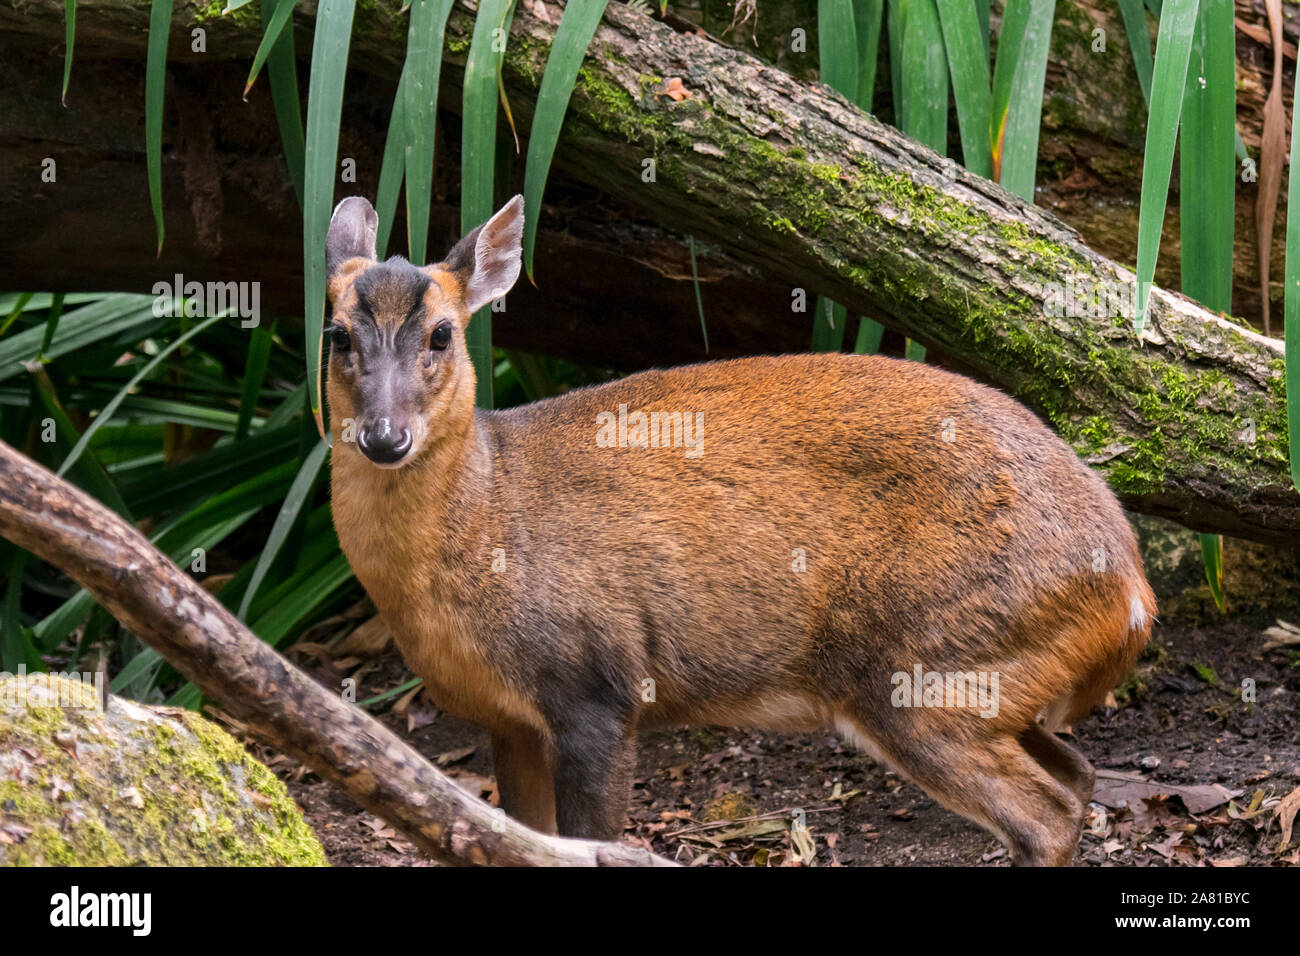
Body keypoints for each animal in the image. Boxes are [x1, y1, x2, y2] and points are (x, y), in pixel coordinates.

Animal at [325, 195, 1159, 868]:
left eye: (441, 334)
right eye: (336, 335)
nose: (385, 436)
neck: (490, 515)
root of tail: (1131, 587)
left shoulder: (597, 687)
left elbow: (589, 842)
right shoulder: (509, 720)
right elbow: (519, 839)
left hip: (928, 662)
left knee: (1045, 813)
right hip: (992, 673)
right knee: (1078, 776)